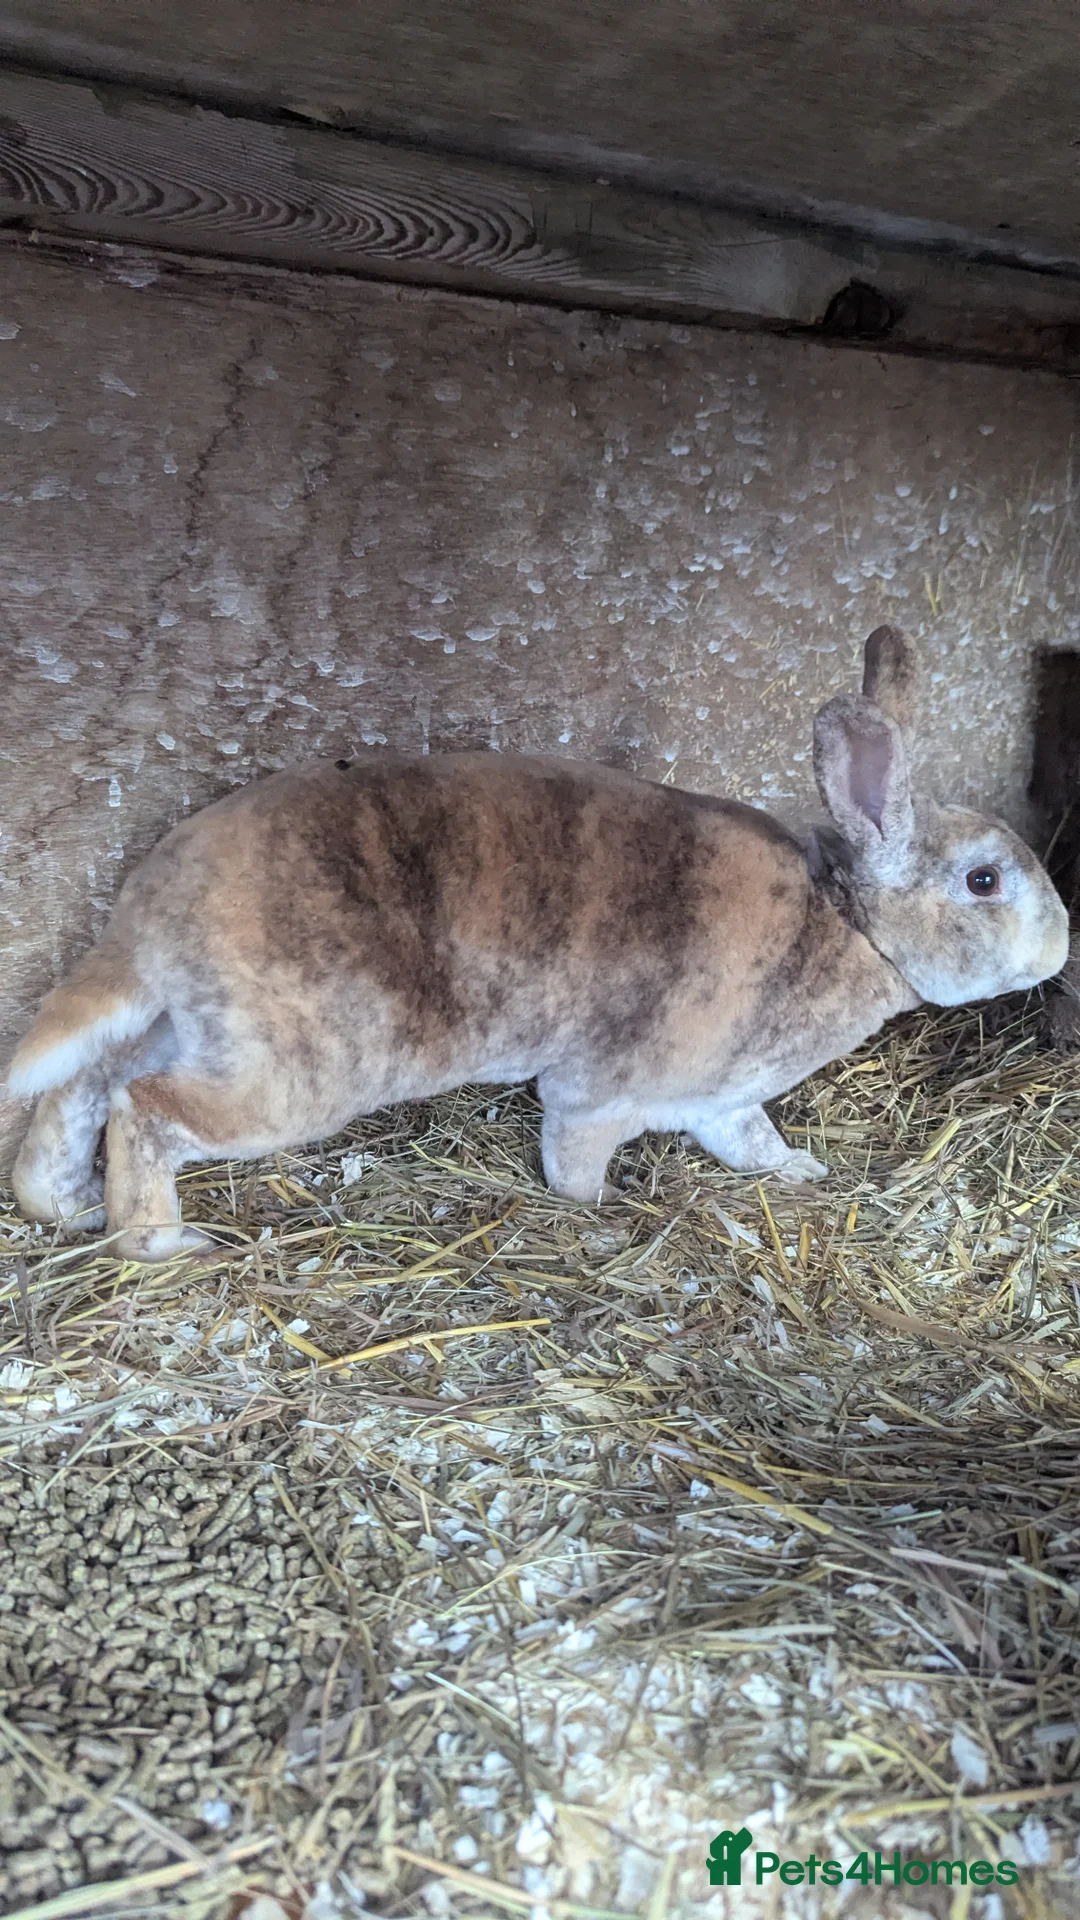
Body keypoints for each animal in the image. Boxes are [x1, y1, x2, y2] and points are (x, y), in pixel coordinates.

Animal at [5, 625, 1068, 1262]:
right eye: (985, 881)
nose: (1061, 948)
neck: (846, 923)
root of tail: (149, 911)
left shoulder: (724, 1102)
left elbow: (752, 1145)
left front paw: (803, 1175)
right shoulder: (604, 1093)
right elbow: (575, 1153)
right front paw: (595, 1215)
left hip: (192, 1027)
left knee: (88, 1085)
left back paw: (65, 1207)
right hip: (289, 1073)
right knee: (146, 1108)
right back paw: (157, 1244)